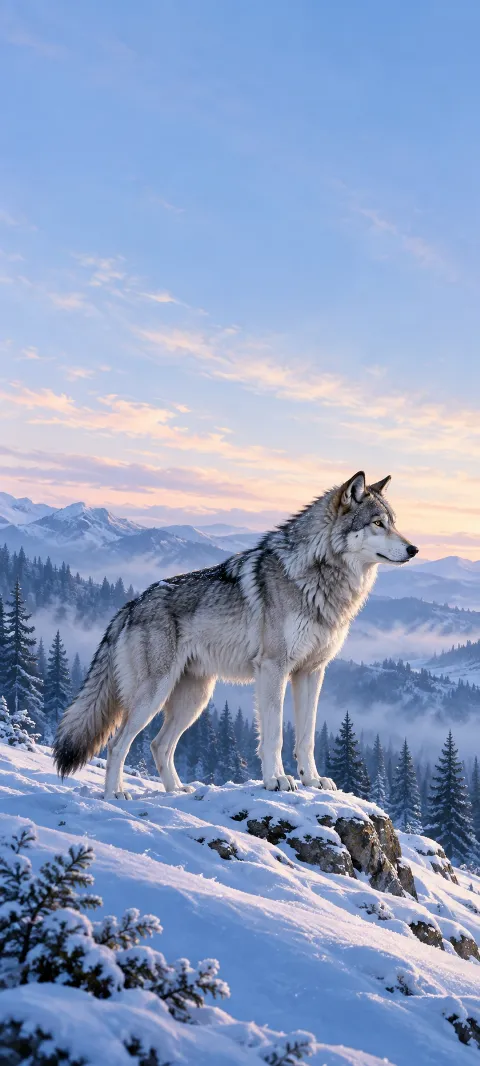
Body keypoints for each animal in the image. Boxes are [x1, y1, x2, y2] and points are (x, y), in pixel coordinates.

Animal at [54, 471, 418, 799]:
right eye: (377, 523)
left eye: (393, 522)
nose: (414, 549)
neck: (318, 576)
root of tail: (130, 605)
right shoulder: (273, 668)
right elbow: (274, 735)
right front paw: (276, 780)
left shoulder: (311, 672)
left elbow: (307, 737)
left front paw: (313, 781)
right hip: (154, 695)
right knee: (117, 744)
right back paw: (115, 794)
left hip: (195, 699)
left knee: (159, 745)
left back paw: (177, 791)